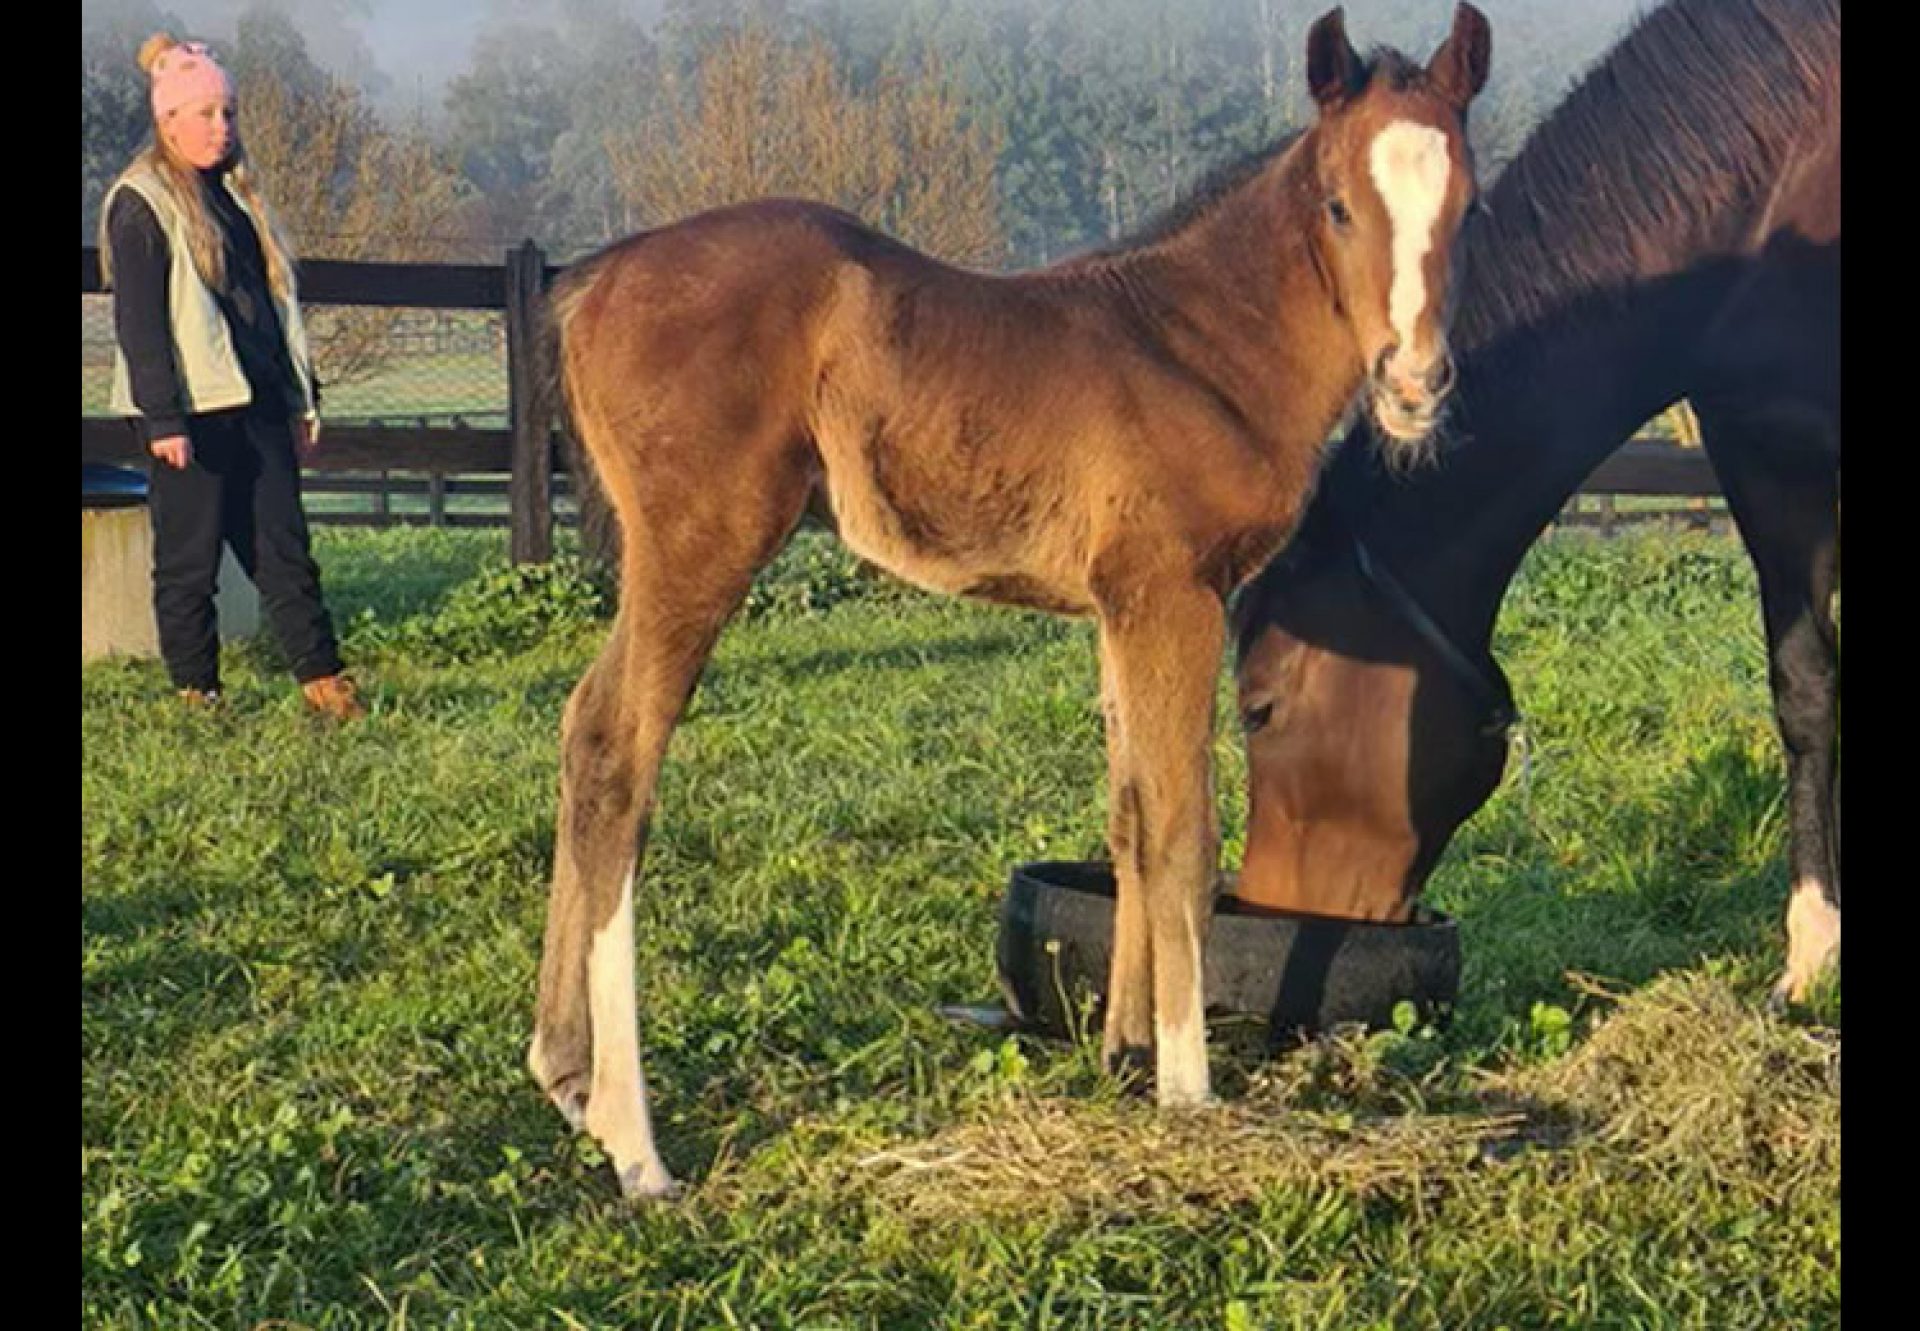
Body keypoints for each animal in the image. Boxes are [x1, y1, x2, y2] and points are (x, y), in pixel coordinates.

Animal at [529, 5, 1493, 1198]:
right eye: (1339, 203)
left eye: (1470, 205)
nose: (1415, 385)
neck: (1198, 345)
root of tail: (590, 279)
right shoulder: (1174, 595)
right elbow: (1185, 830)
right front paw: (1188, 1089)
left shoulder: (1118, 608)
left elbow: (1128, 816)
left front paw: (1124, 1053)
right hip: (698, 549)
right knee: (620, 754)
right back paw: (637, 1143)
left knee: (580, 731)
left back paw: (565, 1076)